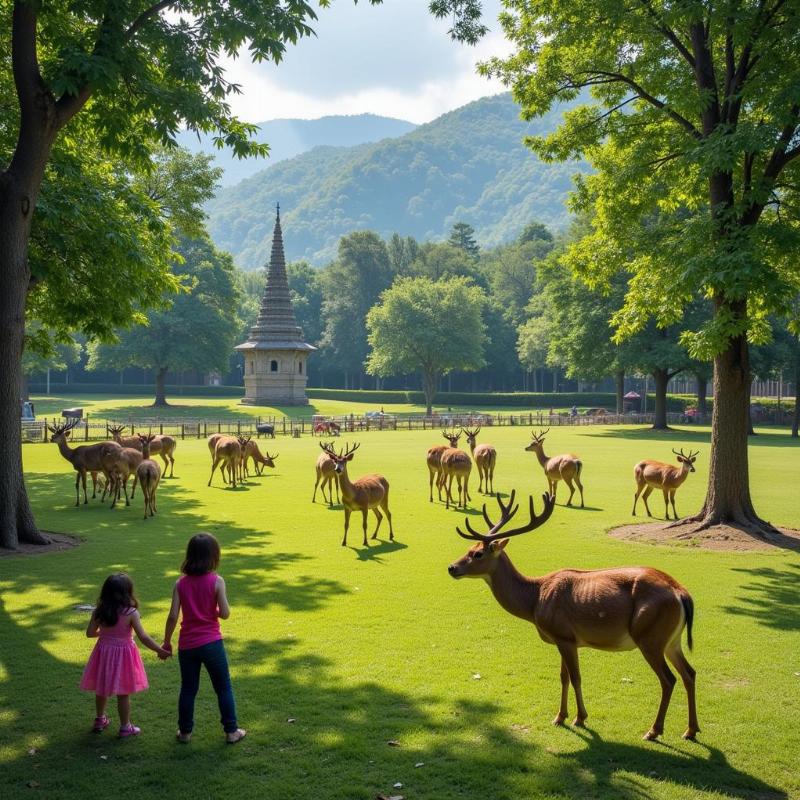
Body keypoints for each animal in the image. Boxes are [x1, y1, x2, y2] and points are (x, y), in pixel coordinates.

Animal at [450, 490, 700, 740]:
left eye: (477, 553)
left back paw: (653, 731)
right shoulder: (563, 639)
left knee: (668, 679)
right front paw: (560, 717)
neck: (535, 599)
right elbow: (564, 677)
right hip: (672, 640)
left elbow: (576, 677)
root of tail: (681, 593)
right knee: (690, 673)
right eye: (469, 549)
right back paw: (690, 730)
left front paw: (580, 718)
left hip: (649, 636)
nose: (451, 568)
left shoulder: (564, 635)